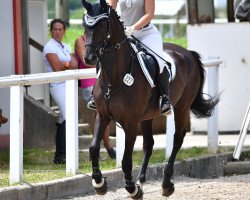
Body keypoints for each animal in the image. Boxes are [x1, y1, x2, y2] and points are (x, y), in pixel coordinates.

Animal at [81, 0, 219, 198]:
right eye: (85, 25)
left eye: (103, 24)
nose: (89, 57)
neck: (114, 77)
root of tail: (187, 52)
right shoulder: (103, 115)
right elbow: (93, 149)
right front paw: (99, 183)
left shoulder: (130, 122)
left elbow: (126, 160)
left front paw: (132, 189)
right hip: (147, 116)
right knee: (149, 144)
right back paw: (141, 180)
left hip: (181, 107)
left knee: (177, 139)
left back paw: (166, 184)